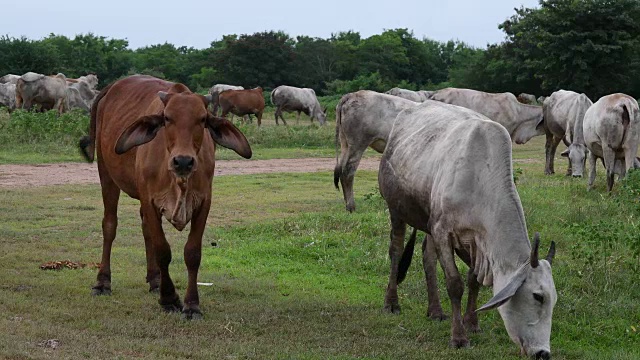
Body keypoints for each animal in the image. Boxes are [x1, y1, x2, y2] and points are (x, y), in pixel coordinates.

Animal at [79, 75, 251, 318]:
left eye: (202, 119)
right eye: (167, 118)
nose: (183, 161)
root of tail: (112, 87)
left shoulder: (204, 203)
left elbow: (192, 253)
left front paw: (191, 305)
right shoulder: (150, 200)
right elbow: (162, 249)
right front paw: (169, 299)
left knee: (145, 230)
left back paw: (155, 279)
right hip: (106, 173)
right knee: (109, 225)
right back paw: (103, 282)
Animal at [380, 100, 556, 358]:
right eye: (538, 296)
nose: (543, 353)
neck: (479, 178)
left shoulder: (476, 242)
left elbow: (473, 281)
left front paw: (471, 323)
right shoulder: (443, 231)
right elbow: (455, 284)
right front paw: (459, 337)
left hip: (428, 221)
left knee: (427, 257)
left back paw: (435, 310)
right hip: (396, 209)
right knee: (395, 251)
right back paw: (391, 303)